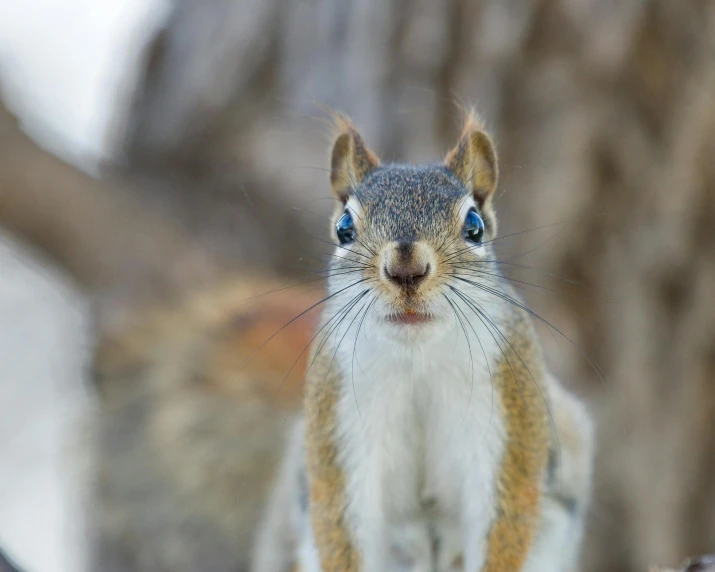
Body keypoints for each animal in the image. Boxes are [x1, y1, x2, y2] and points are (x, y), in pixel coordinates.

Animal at [252, 113, 592, 572]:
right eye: (344, 227)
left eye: (474, 226)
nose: (406, 270)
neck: (418, 356)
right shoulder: (339, 424)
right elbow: (343, 521)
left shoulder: (509, 414)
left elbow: (505, 515)